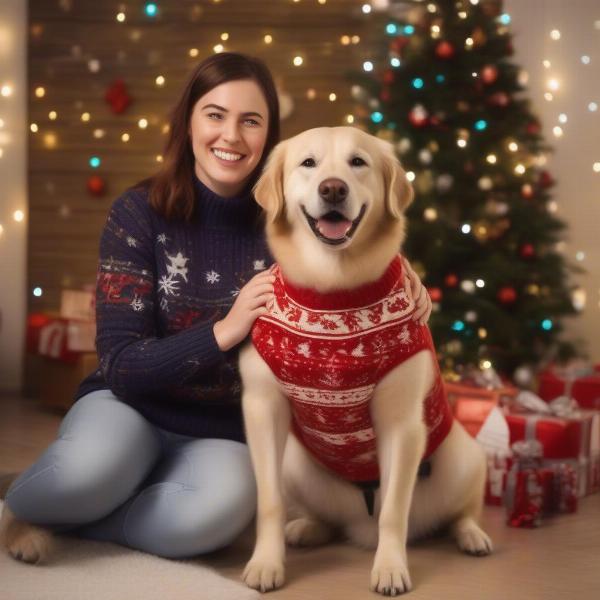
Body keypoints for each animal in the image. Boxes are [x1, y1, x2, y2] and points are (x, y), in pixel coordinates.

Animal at [240, 126, 492, 596]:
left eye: (358, 162)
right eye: (308, 163)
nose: (333, 189)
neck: (335, 290)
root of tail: (361, 528)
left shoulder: (402, 423)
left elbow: (393, 510)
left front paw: (390, 568)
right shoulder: (262, 408)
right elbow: (268, 502)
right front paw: (266, 563)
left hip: (466, 458)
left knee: (460, 513)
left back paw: (472, 536)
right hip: (296, 463)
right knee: (327, 520)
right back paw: (306, 529)